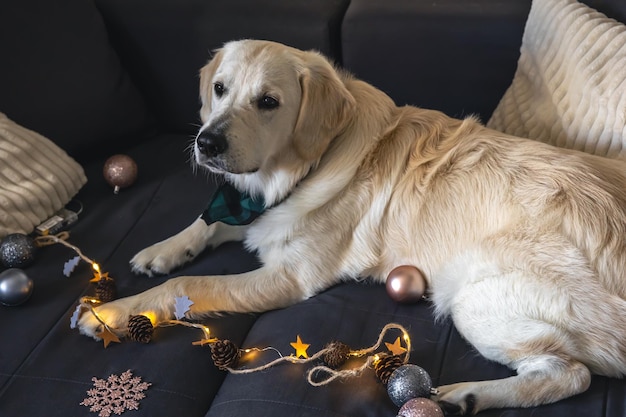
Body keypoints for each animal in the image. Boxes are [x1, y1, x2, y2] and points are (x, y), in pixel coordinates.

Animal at [80, 38, 624, 412]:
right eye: (219, 89)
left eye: (268, 102)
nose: (206, 143)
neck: (299, 168)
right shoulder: (250, 209)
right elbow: (205, 223)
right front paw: (161, 250)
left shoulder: (289, 276)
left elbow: (191, 284)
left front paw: (111, 312)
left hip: (474, 296)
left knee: (570, 375)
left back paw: (468, 394)